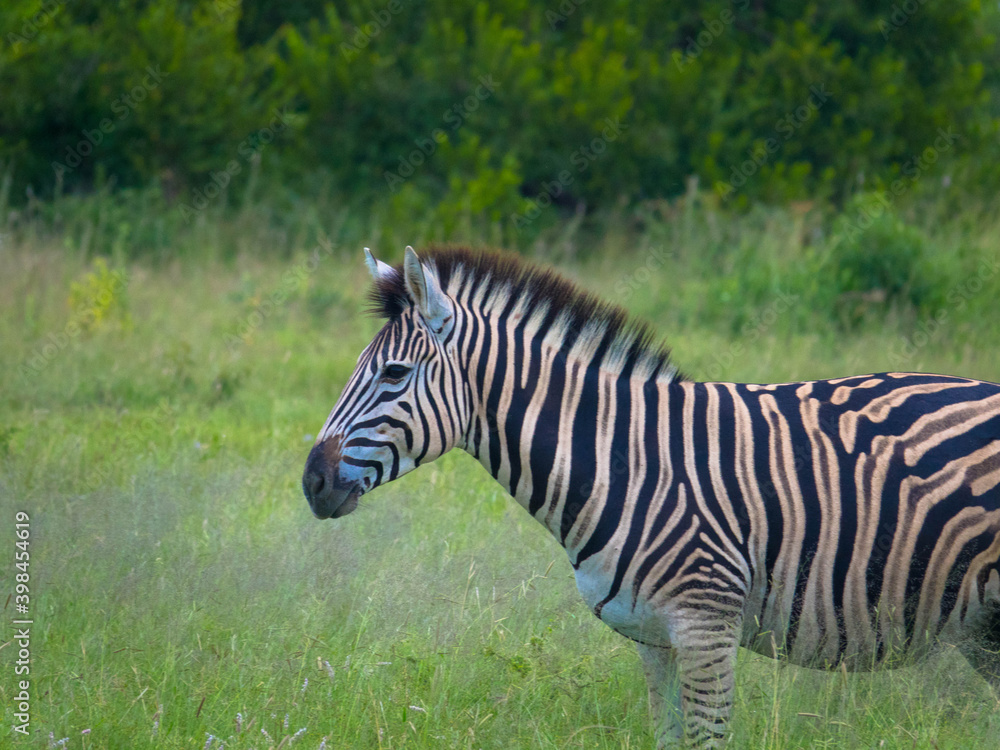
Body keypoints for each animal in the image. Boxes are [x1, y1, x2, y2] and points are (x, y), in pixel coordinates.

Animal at [302, 246, 1000, 748]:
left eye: (394, 373)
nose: (311, 482)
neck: (626, 462)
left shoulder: (706, 627)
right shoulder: (653, 638)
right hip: (982, 626)